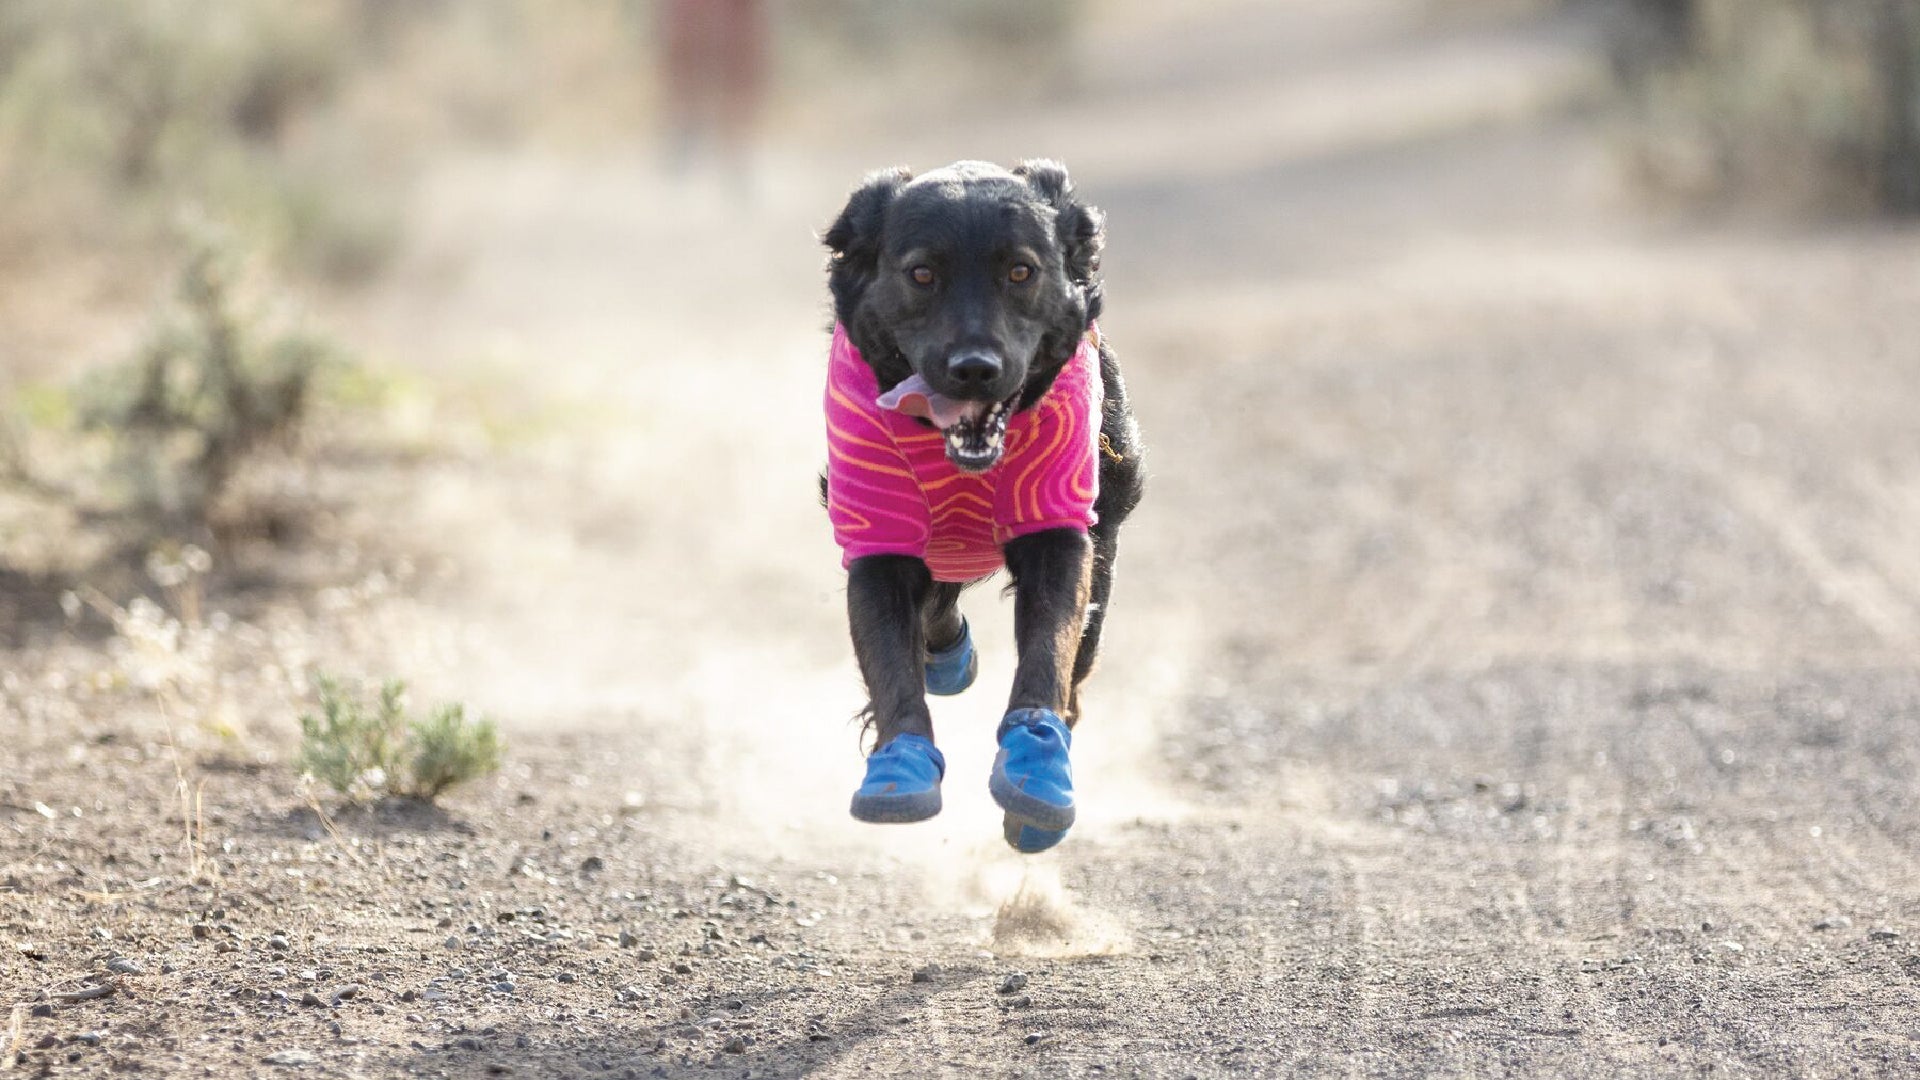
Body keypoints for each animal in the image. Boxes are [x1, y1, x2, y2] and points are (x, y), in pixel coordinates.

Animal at [814, 159, 1136, 849]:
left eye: (1020, 271)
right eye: (921, 274)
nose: (974, 368)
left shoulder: (1059, 525)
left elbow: (1051, 647)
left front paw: (1037, 769)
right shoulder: (877, 532)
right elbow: (891, 659)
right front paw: (901, 766)